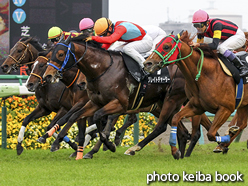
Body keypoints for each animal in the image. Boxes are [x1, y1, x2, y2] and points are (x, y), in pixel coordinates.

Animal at [41, 33, 212, 160]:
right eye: (51, 54)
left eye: (61, 54)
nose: (47, 75)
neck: (103, 69)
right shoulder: (94, 102)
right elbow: (75, 116)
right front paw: (57, 141)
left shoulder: (119, 104)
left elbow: (99, 119)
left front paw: (108, 145)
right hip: (161, 104)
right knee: (181, 131)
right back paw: (179, 154)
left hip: (172, 99)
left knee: (161, 126)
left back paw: (135, 148)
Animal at [143, 30, 246, 158]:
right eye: (156, 45)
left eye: (166, 46)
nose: (147, 63)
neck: (206, 75)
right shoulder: (196, 106)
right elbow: (175, 119)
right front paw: (175, 150)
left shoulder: (226, 108)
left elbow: (211, 134)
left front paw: (226, 138)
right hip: (243, 105)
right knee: (242, 123)